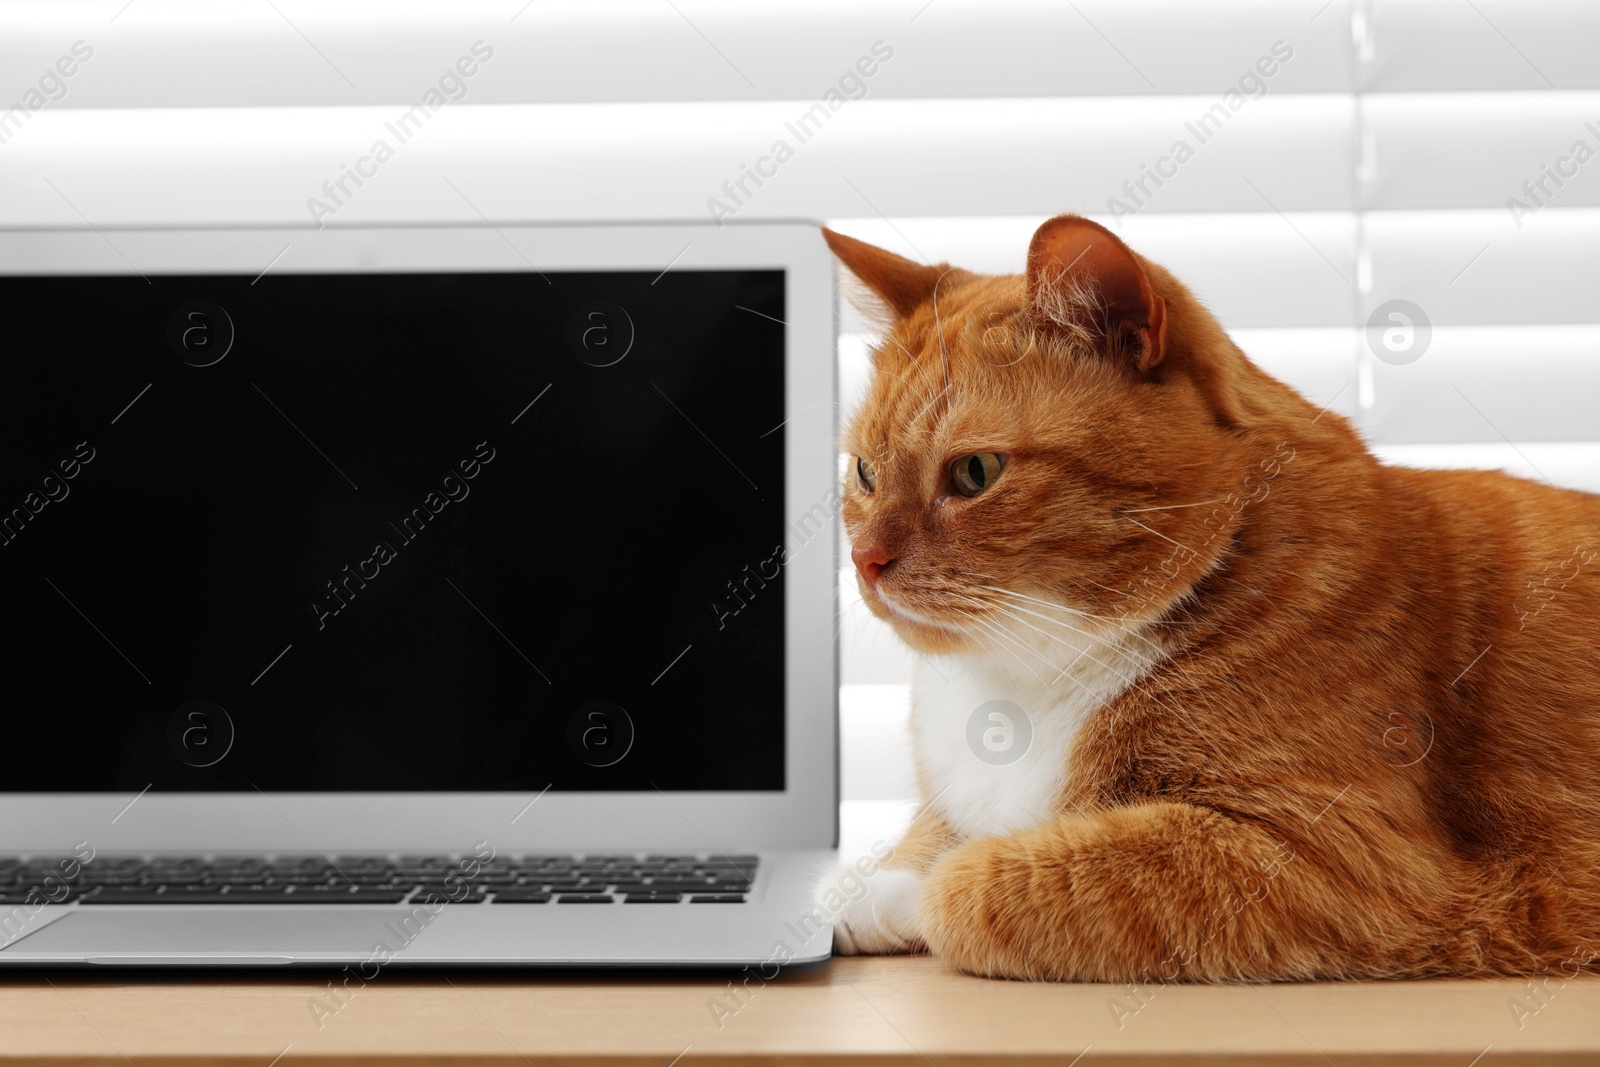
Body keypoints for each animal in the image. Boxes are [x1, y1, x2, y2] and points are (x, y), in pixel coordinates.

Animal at [819, 214, 1600, 985]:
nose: (865, 560)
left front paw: (914, 894)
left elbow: (967, 880)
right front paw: (861, 891)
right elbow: (927, 839)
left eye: (975, 472)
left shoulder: (1335, 857)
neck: (1022, 677)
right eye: (864, 472)